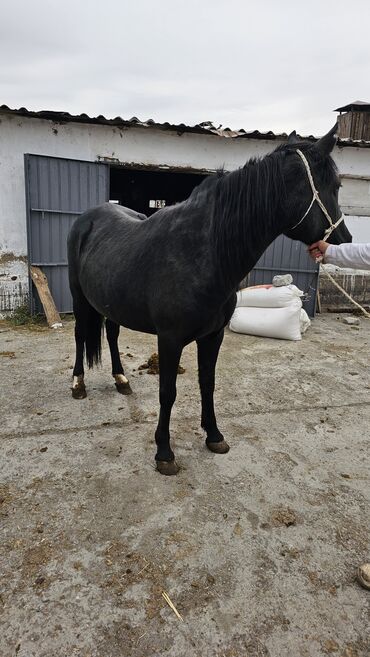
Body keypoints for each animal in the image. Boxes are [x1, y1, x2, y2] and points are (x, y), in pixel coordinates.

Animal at [68, 124, 352, 472]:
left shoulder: (213, 336)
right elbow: (168, 392)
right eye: (335, 186)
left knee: (111, 332)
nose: (345, 239)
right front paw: (164, 452)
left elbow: (208, 383)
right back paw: (78, 384)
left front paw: (214, 435)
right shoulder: (170, 339)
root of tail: (89, 217)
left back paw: (121, 379)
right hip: (79, 297)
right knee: (80, 334)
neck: (203, 252)